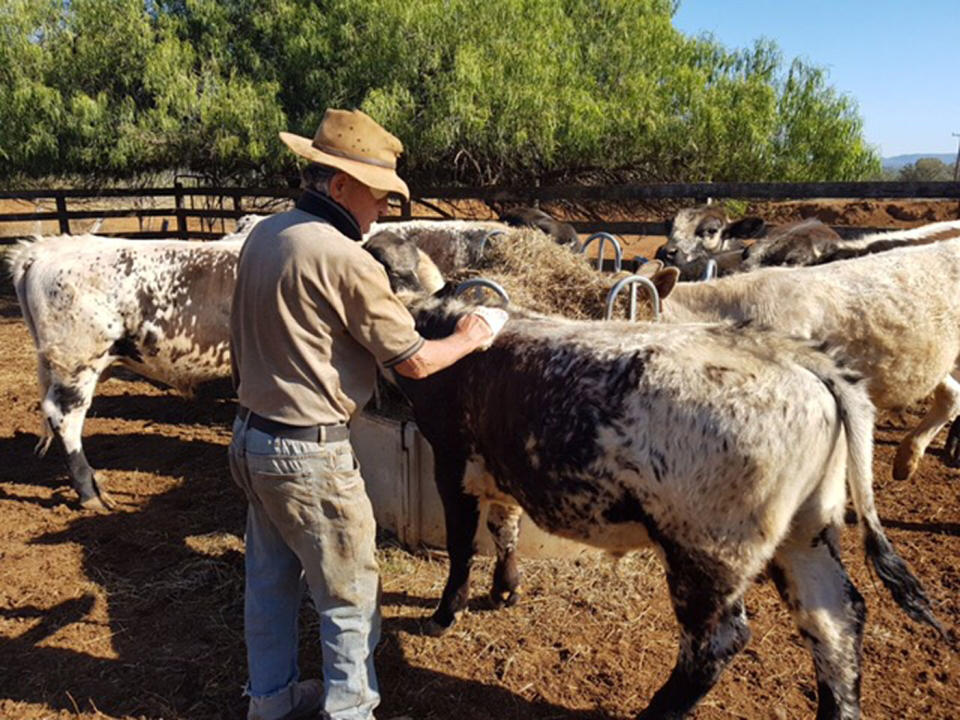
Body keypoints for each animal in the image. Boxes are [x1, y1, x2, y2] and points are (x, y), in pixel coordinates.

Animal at [386, 292, 940, 720]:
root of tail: (799, 358)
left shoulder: (450, 459)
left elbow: (462, 548)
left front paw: (444, 613)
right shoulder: (502, 470)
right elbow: (505, 528)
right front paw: (506, 590)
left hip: (707, 552)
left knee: (717, 644)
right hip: (808, 530)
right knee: (834, 622)